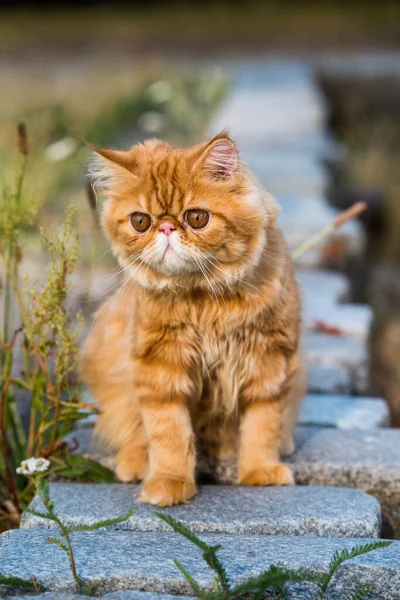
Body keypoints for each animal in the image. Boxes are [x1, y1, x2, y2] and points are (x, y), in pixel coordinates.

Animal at [82, 130, 306, 506]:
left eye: (197, 217)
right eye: (140, 221)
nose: (166, 229)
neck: (203, 299)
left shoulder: (269, 359)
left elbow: (262, 425)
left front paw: (259, 471)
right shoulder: (159, 364)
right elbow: (169, 434)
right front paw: (168, 483)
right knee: (131, 430)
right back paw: (136, 463)